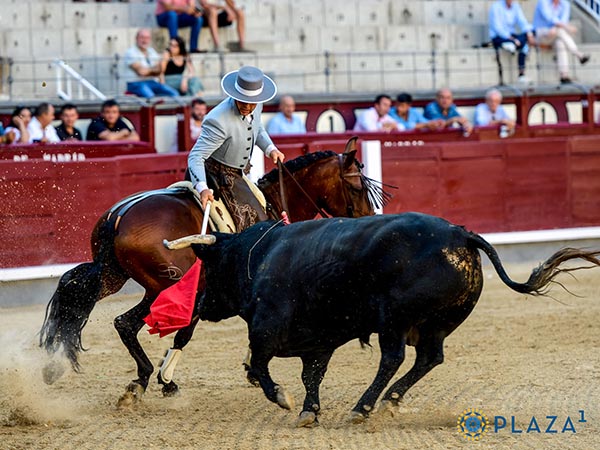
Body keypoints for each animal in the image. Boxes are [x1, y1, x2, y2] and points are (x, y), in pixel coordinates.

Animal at [41, 137, 390, 404]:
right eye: (356, 187)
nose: (370, 221)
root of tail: (119, 217)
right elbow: (193, 333)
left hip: (112, 277)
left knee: (95, 308)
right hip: (165, 286)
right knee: (130, 323)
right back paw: (148, 380)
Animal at [191, 213, 600, 428]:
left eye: (208, 269)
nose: (199, 306)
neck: (256, 257)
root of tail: (461, 235)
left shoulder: (266, 331)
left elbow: (261, 367)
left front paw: (283, 399)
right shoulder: (319, 340)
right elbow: (312, 375)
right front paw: (310, 411)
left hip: (394, 319)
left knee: (393, 358)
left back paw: (363, 407)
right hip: (437, 324)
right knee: (430, 357)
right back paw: (389, 401)